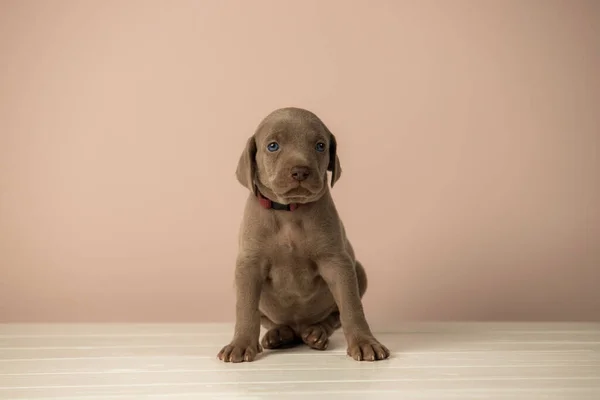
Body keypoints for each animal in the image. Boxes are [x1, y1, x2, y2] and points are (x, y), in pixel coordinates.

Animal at [218, 106, 392, 362]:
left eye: (320, 146)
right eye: (273, 146)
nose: (300, 171)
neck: (290, 211)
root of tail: (299, 329)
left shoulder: (337, 262)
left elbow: (351, 307)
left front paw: (364, 342)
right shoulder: (249, 265)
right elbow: (246, 309)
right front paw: (240, 344)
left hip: (358, 271)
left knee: (332, 318)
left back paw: (316, 333)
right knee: (271, 321)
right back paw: (279, 335)